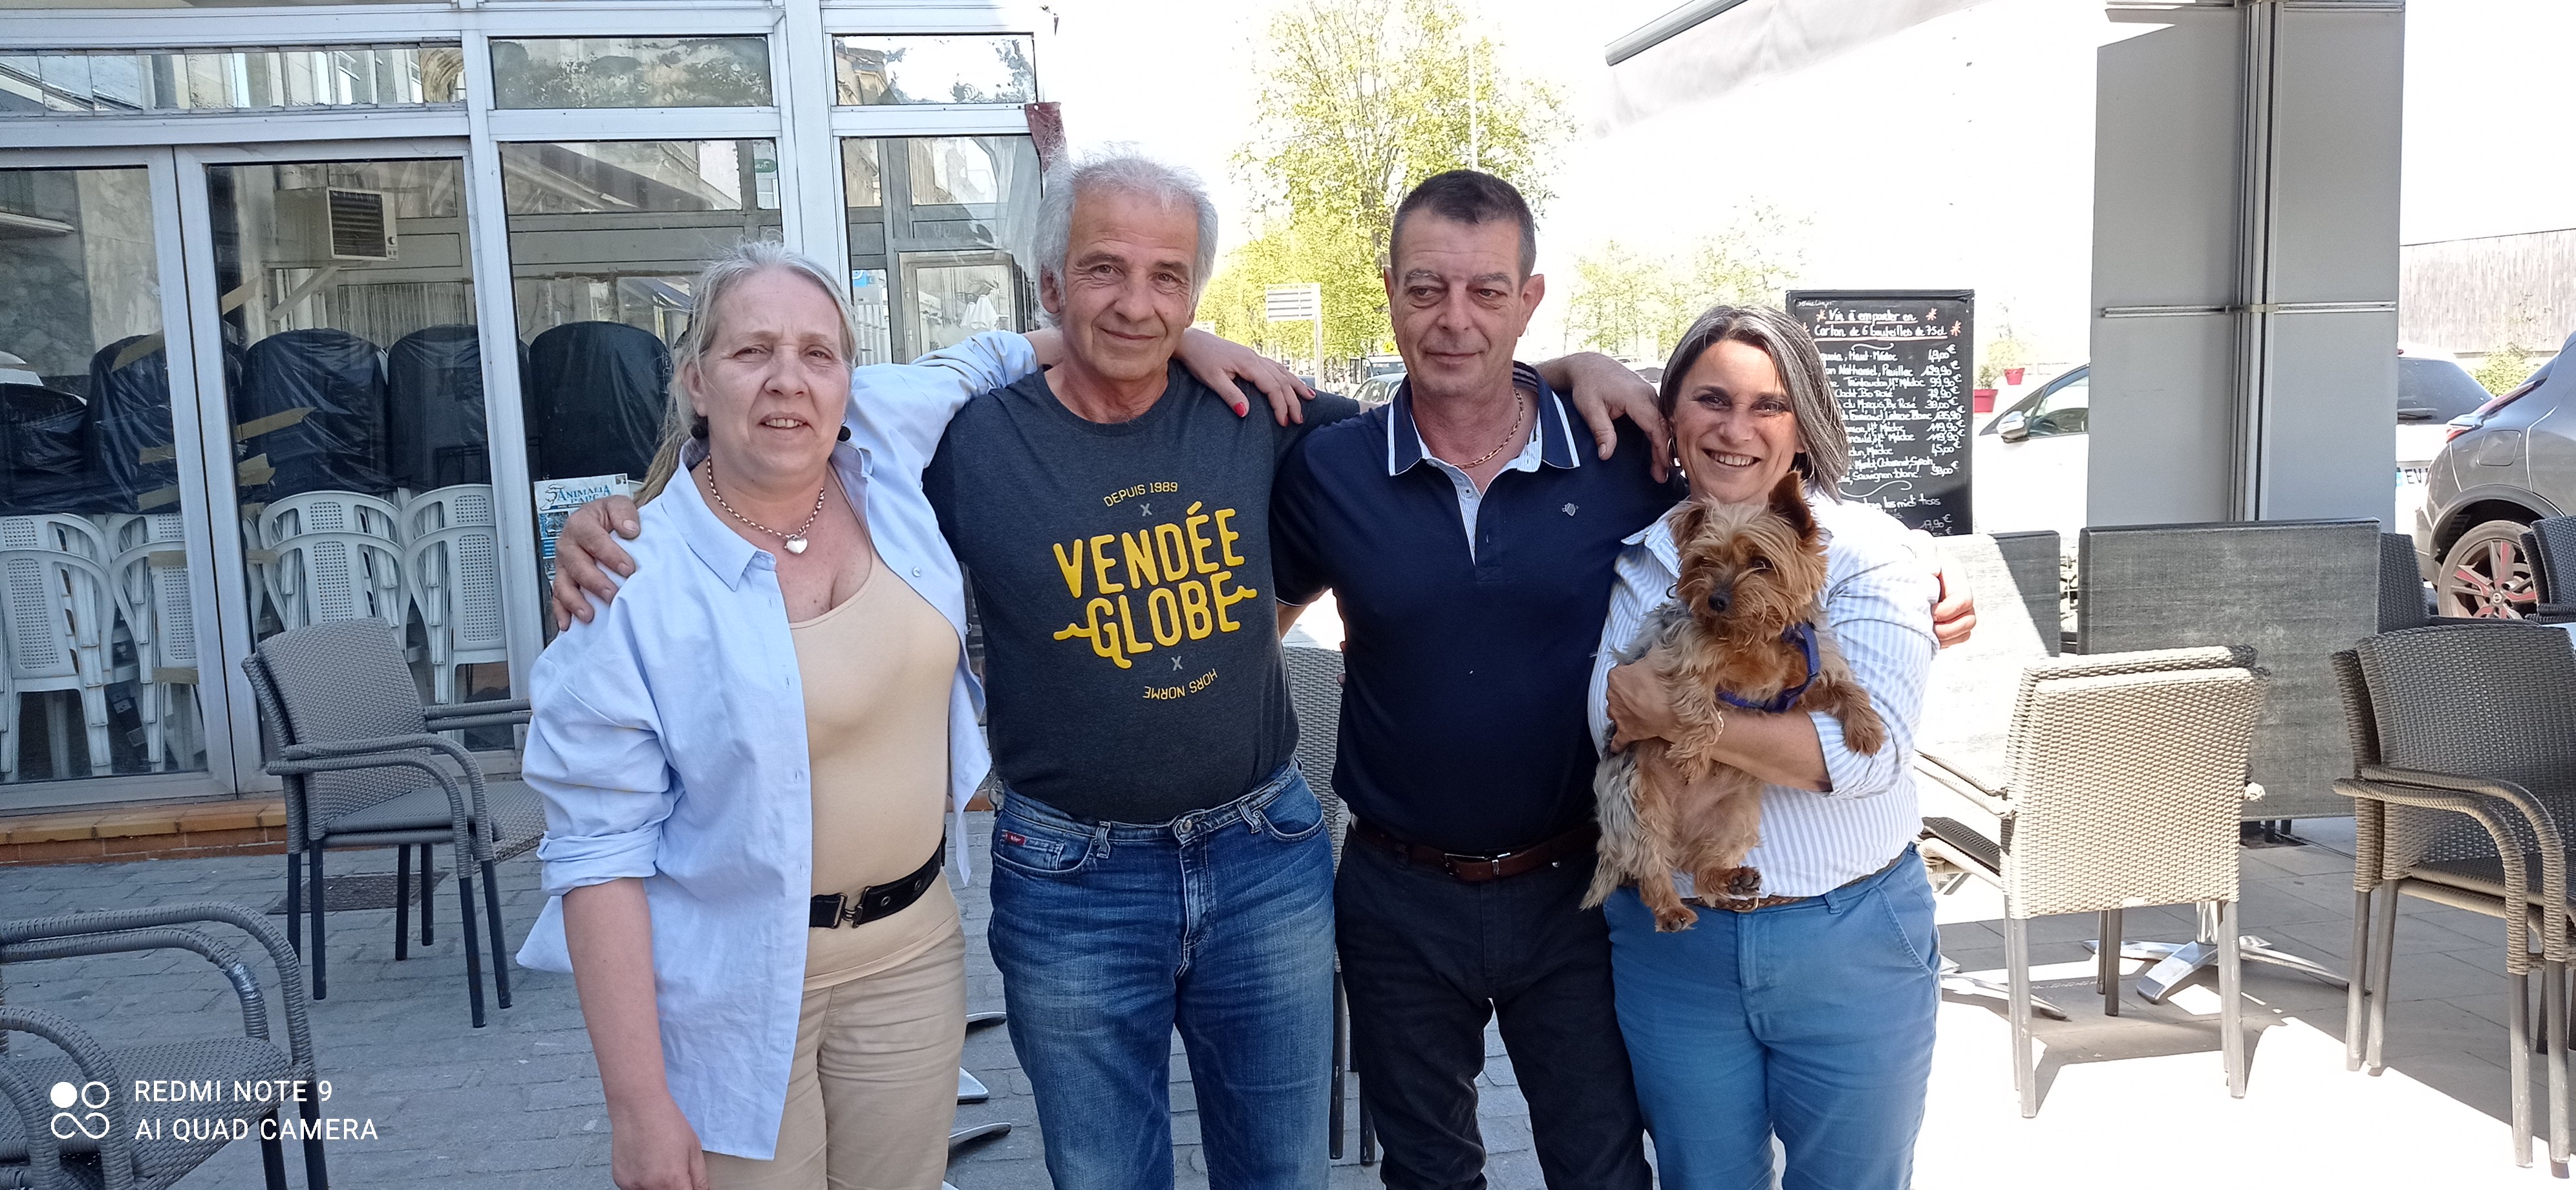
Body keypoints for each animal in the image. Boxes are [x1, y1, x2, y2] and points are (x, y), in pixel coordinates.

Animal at [1586, 472, 1888, 932]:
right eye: (1705, 562)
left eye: (1761, 563)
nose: (1716, 600)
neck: (1755, 637)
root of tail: (1681, 833)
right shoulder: (1681, 657)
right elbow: (1703, 710)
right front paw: (1692, 757)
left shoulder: (1806, 675)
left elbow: (1847, 688)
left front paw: (1868, 729)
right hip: (1634, 803)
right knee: (1650, 865)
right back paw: (1671, 910)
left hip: (1736, 816)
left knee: (1702, 868)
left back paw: (1733, 878)